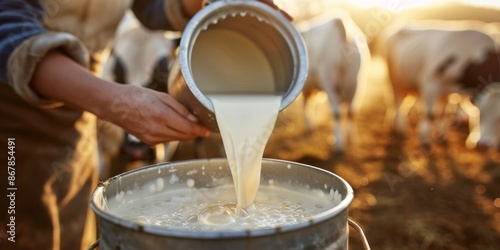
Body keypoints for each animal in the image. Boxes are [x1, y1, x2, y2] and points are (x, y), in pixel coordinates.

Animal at [296, 12, 372, 153]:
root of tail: (339, 22)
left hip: (331, 82)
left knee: (336, 112)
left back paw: (338, 144)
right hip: (352, 82)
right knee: (349, 111)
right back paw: (348, 141)